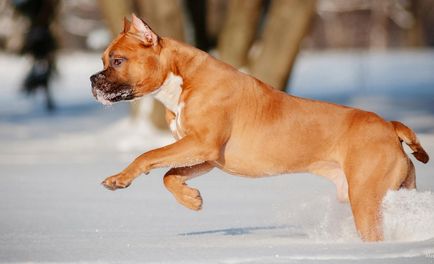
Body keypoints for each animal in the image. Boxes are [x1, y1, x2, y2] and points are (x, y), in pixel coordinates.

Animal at [90, 14, 428, 241]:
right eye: (104, 59)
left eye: (117, 61)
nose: (93, 79)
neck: (181, 78)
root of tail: (390, 126)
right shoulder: (204, 154)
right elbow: (169, 175)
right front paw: (191, 199)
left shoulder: (202, 143)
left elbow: (147, 156)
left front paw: (120, 178)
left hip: (365, 200)